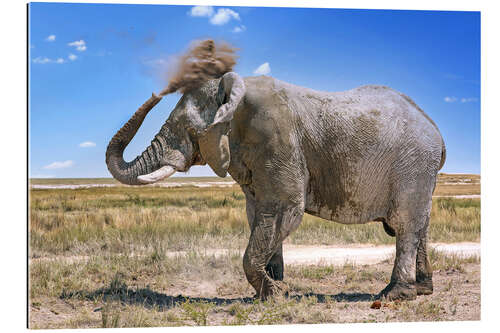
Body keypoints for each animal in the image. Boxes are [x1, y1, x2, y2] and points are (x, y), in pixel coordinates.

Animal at [104, 71, 446, 300]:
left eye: (187, 129)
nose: (155, 93)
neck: (235, 92)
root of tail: (435, 129)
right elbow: (258, 215)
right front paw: (274, 288)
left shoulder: (276, 139)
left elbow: (284, 209)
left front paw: (273, 294)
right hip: (420, 170)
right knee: (421, 224)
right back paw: (423, 289)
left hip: (413, 164)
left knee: (405, 225)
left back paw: (393, 295)